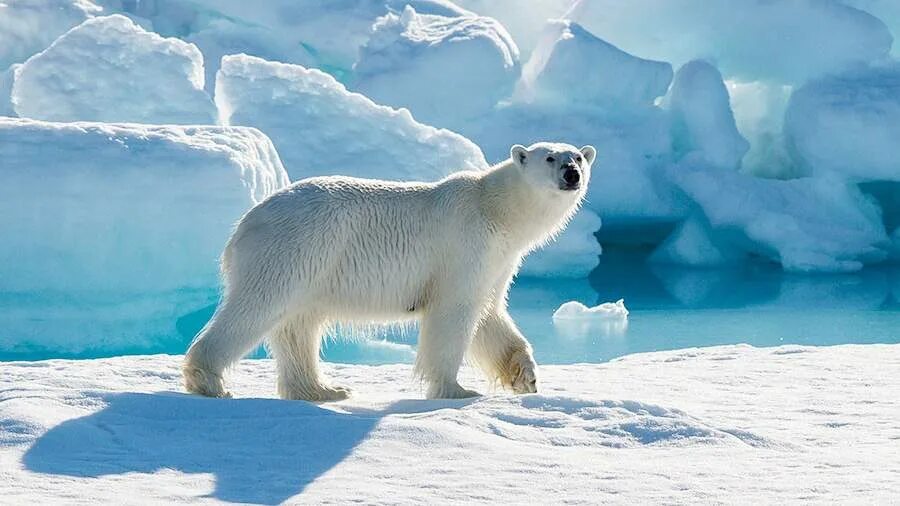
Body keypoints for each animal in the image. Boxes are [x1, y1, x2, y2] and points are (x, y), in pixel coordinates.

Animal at [181, 141, 596, 400]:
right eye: (549, 157)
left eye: (578, 156)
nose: (572, 174)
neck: (494, 208)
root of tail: (244, 223)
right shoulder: (464, 245)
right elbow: (454, 313)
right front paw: (456, 390)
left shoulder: (498, 260)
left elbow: (490, 314)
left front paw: (526, 376)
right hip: (293, 248)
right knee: (257, 307)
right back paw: (209, 381)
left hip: (311, 266)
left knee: (299, 326)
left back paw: (324, 390)